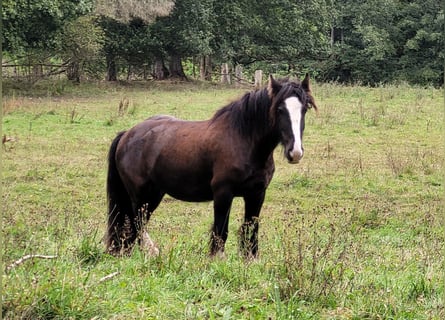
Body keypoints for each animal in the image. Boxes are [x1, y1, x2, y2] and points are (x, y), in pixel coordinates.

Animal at [106, 75, 318, 258]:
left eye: (305, 108)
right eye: (279, 109)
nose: (295, 152)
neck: (243, 140)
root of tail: (127, 134)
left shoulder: (257, 194)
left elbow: (251, 230)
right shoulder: (223, 193)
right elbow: (220, 231)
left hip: (154, 194)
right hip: (141, 196)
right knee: (136, 225)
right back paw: (150, 252)